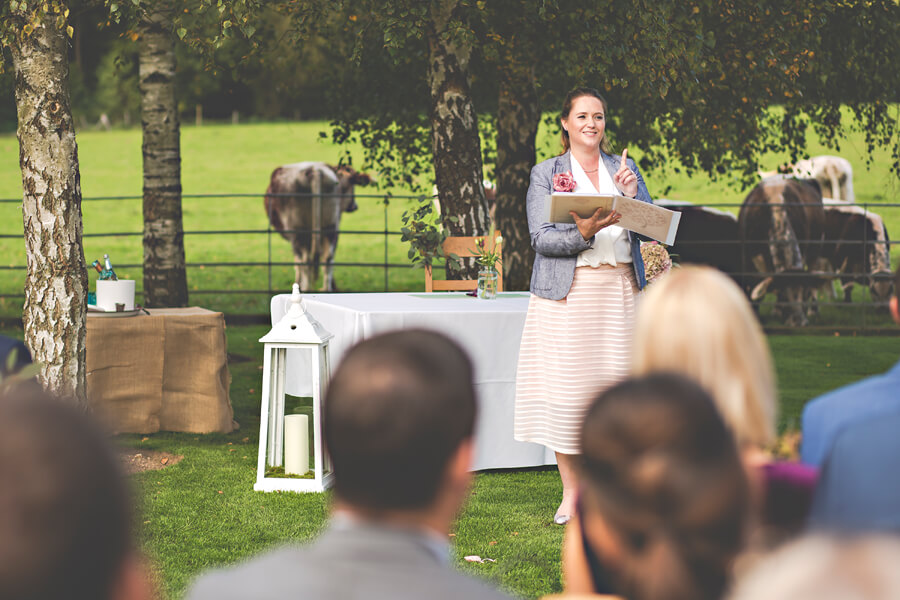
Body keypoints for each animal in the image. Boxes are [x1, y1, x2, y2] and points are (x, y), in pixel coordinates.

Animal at [264, 159, 372, 290]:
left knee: (305, 261)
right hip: (331, 228)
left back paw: (306, 288)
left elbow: (298, 264)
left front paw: (298, 282)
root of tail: (314, 170)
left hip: (298, 232)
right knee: (327, 259)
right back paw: (326, 289)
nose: (354, 206)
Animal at [736, 177, 828, 326]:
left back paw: (813, 310)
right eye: (783, 294)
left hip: (816, 248)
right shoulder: (748, 258)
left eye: (803, 290)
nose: (799, 322)